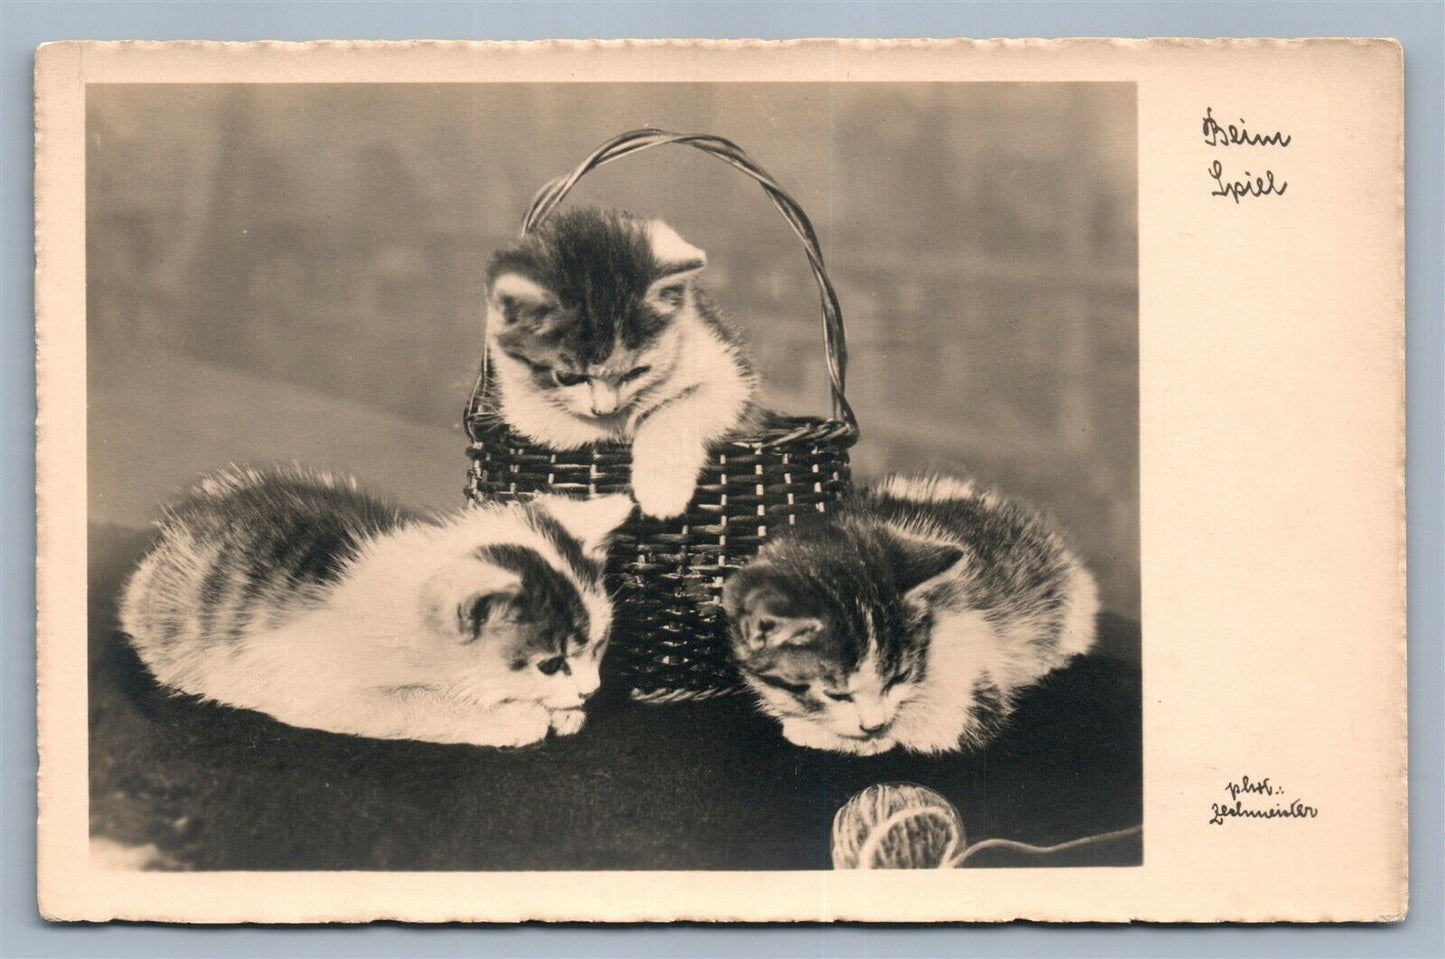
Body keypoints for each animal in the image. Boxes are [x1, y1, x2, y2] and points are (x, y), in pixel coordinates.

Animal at [125, 467, 638, 745]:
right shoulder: (312, 684)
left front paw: (560, 709)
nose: (591, 690)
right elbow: (413, 701)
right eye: (549, 664)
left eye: (599, 646)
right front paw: (514, 714)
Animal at [482, 206, 757, 519]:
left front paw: (662, 488)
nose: (606, 410)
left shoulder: (728, 371)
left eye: (638, 371)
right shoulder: (513, 403)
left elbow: (676, 407)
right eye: (568, 378)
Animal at [722, 470, 1092, 756]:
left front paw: (862, 736)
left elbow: (950, 720)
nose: (873, 725)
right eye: (836, 694)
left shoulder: (974, 672)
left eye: (898, 677)